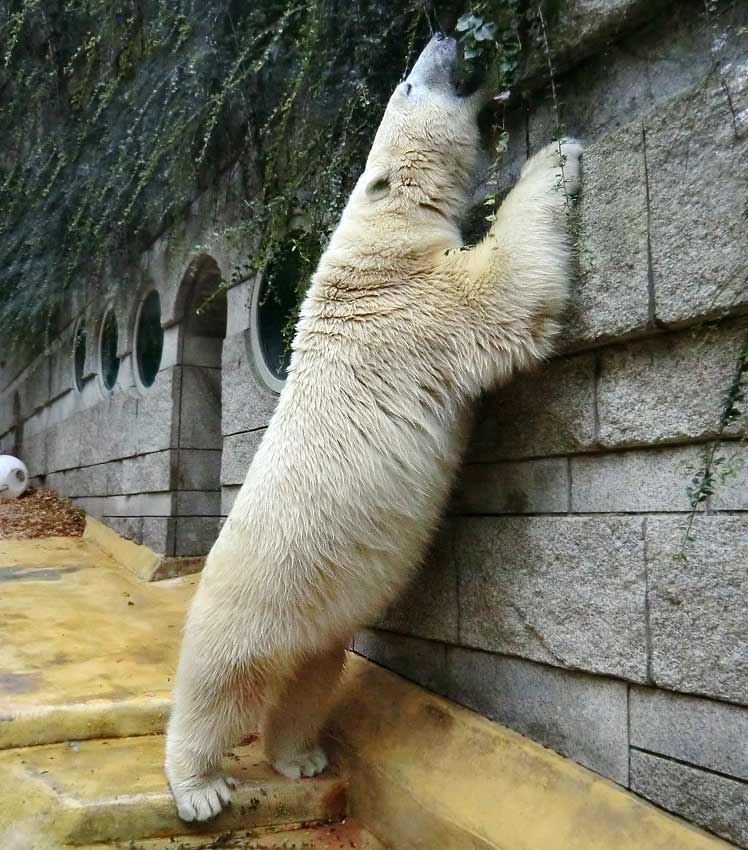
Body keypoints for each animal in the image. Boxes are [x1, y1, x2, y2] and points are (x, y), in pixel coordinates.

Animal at [167, 34, 580, 820]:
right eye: (410, 83)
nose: (448, 35)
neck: (378, 227)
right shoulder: (416, 302)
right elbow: (505, 294)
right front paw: (556, 156)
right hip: (253, 589)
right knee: (218, 682)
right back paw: (199, 786)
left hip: (320, 606)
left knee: (308, 676)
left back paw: (299, 755)